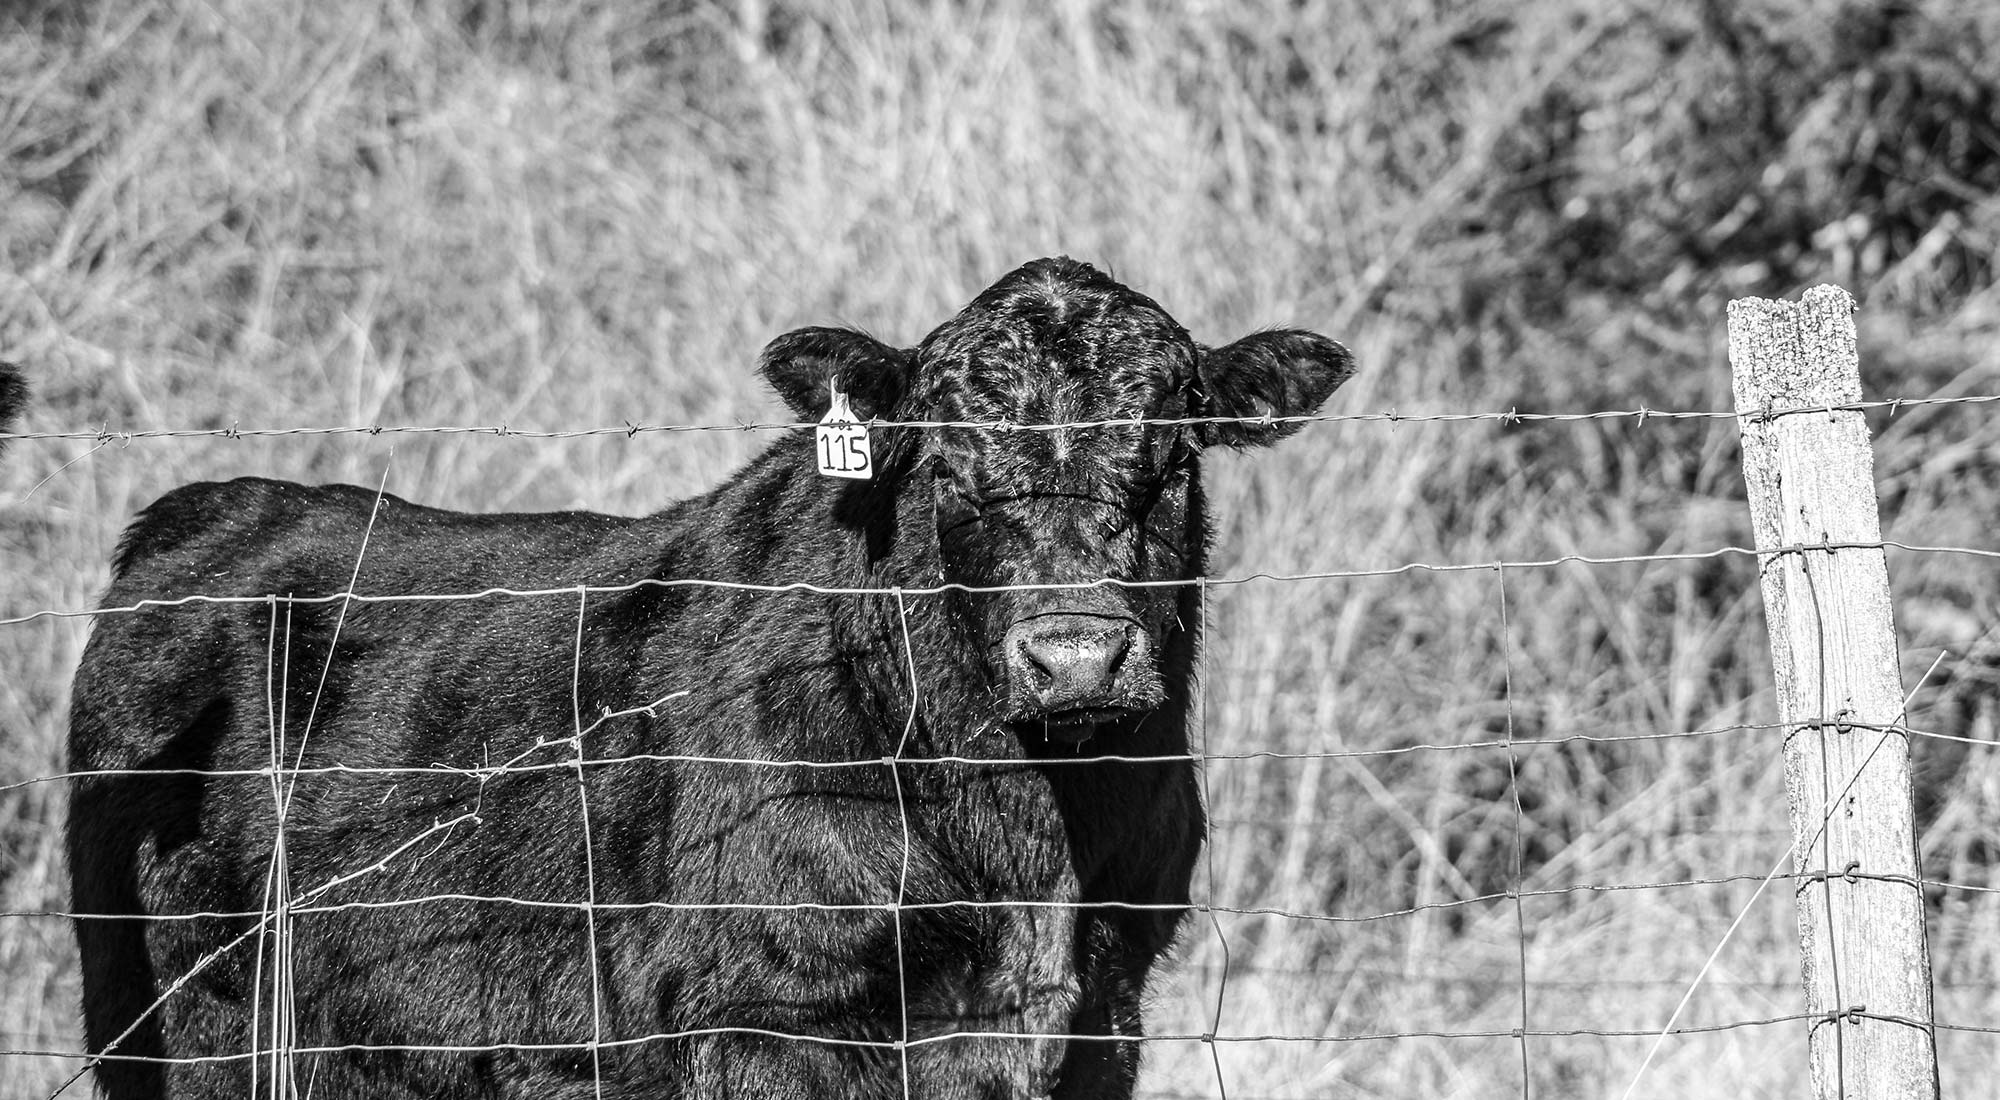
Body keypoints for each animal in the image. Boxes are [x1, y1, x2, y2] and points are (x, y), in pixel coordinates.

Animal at [66, 254, 1344, 1096]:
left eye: (1172, 448)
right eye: (946, 458)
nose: (1073, 650)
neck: (1029, 827)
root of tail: (220, 505)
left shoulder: (1103, 1010)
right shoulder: (767, 1015)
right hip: (186, 1016)